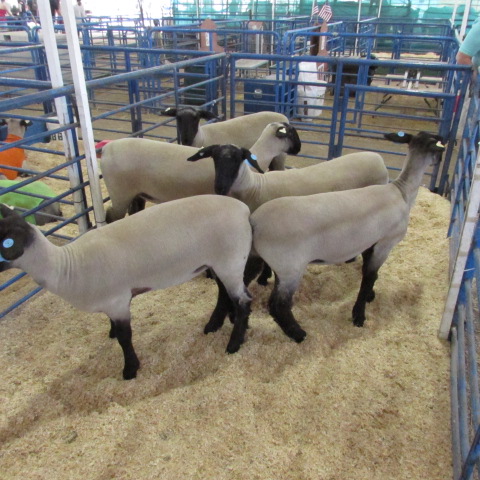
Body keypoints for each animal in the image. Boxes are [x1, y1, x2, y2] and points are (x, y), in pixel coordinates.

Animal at [0, 195, 253, 379]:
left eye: (6, 242)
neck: (67, 266)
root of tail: (243, 210)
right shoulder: (112, 303)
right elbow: (114, 328)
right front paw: (111, 333)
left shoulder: (118, 301)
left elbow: (125, 336)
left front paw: (130, 370)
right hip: (217, 262)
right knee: (224, 294)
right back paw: (213, 325)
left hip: (231, 259)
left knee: (243, 301)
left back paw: (233, 344)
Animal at [100, 122, 301, 224]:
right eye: (292, 133)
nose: (299, 149)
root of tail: (107, 148)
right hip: (120, 193)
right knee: (111, 216)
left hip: (137, 193)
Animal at [244, 131, 445, 343]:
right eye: (437, 146)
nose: (440, 159)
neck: (402, 191)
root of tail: (255, 222)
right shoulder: (386, 242)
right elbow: (369, 275)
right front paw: (359, 315)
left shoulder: (370, 241)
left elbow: (368, 271)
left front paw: (369, 296)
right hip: (289, 268)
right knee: (278, 305)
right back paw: (298, 334)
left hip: (256, 257)